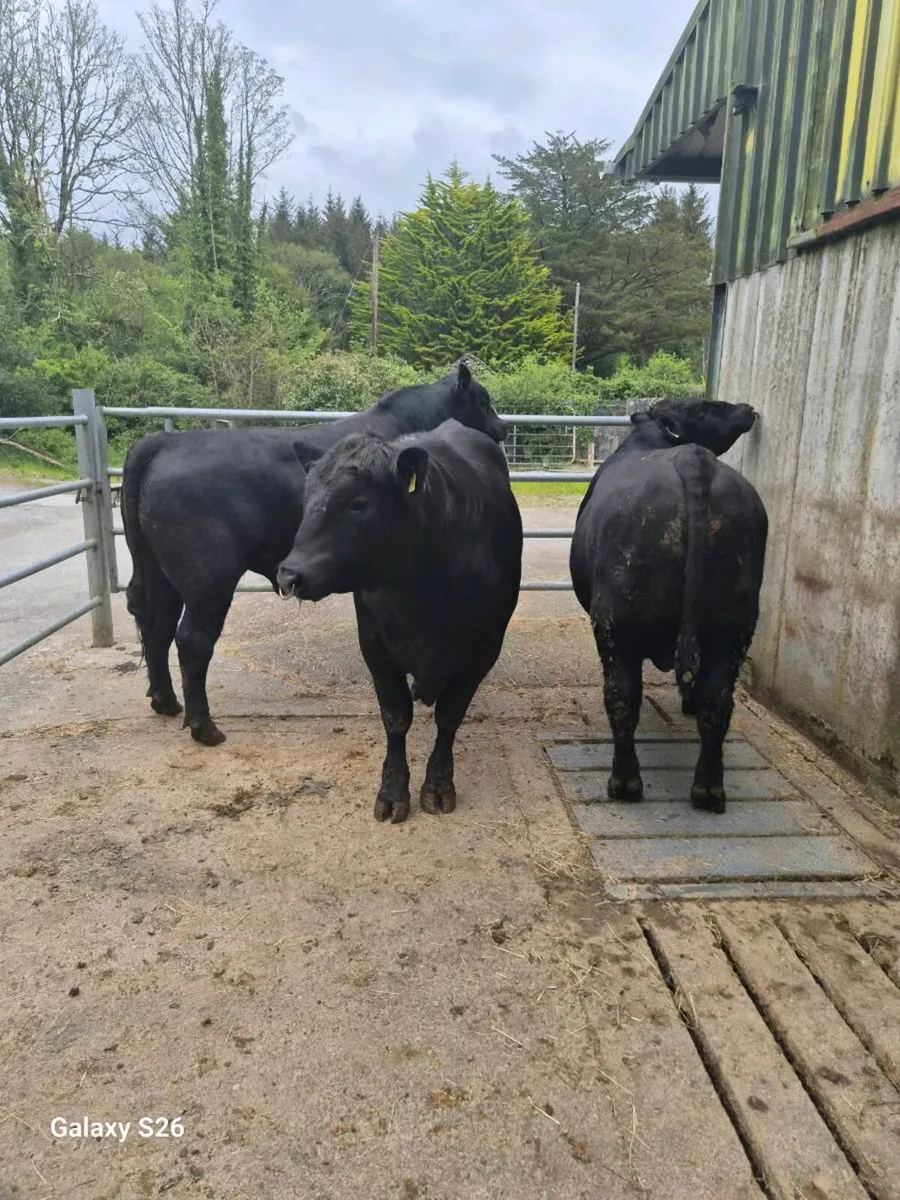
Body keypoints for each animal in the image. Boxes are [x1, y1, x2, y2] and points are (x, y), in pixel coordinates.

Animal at [121, 363, 507, 747]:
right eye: (484, 401)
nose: (502, 428)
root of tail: (164, 441)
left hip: (156, 570)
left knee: (156, 623)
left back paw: (164, 700)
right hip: (208, 578)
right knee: (192, 639)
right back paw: (204, 726)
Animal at [276, 420, 523, 824]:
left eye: (358, 504)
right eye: (306, 500)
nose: (289, 574)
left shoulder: (484, 651)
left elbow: (449, 716)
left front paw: (438, 786)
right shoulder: (375, 647)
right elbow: (395, 718)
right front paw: (392, 792)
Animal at [569, 398, 767, 813]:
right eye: (706, 408)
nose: (747, 407)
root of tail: (694, 459)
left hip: (614, 623)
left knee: (622, 693)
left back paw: (625, 783)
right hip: (735, 626)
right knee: (716, 698)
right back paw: (708, 788)